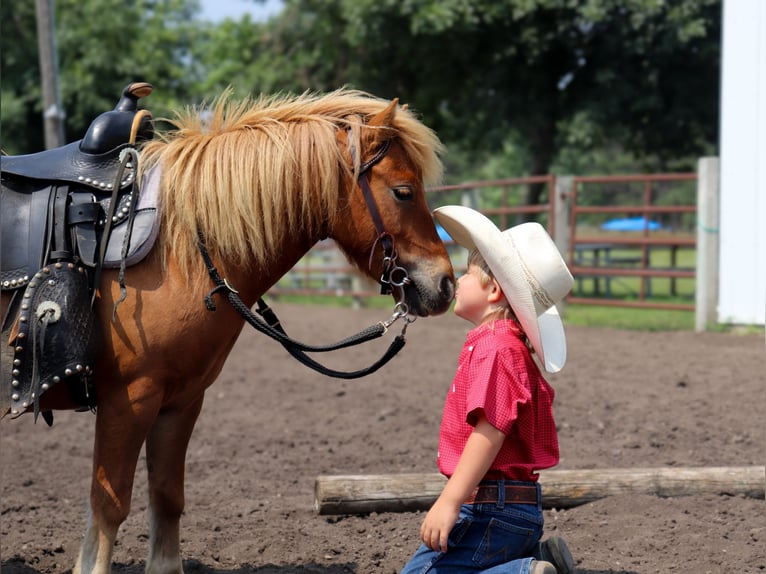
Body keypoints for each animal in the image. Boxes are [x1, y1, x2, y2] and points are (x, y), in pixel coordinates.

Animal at [1, 86, 456, 574]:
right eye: (404, 192)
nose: (446, 284)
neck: (182, 244)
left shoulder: (180, 401)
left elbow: (167, 498)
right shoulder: (128, 400)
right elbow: (109, 506)